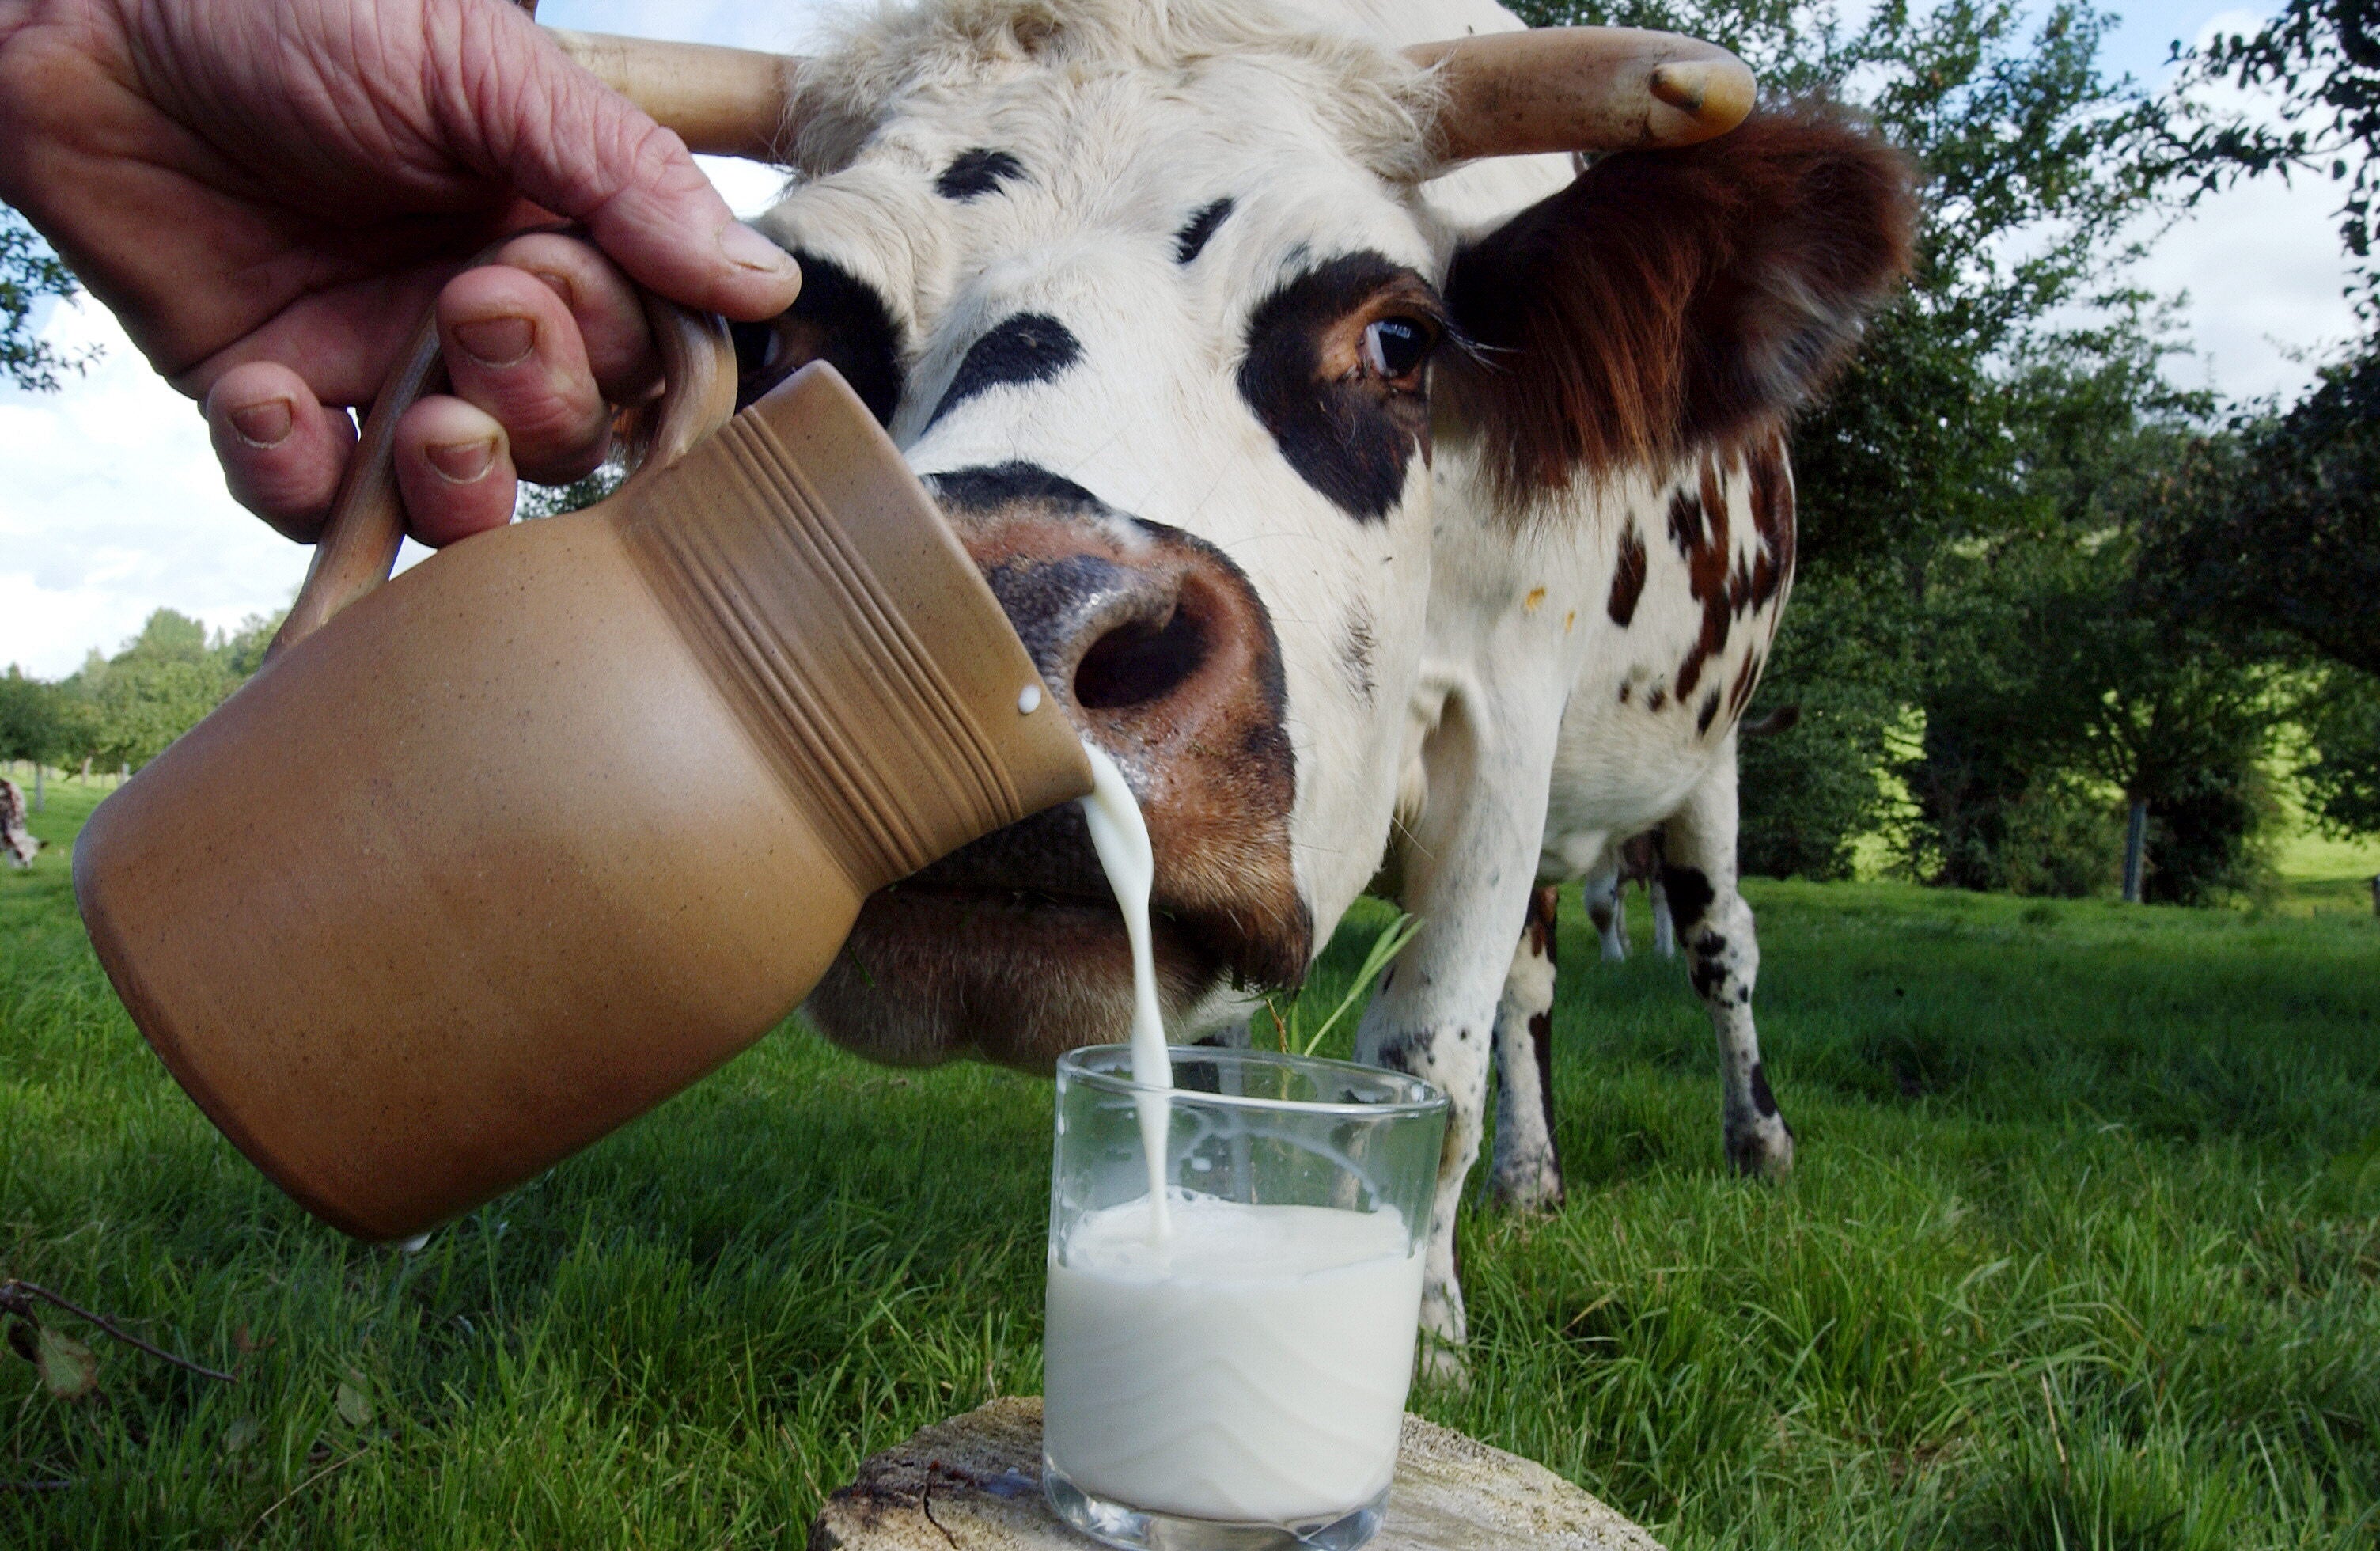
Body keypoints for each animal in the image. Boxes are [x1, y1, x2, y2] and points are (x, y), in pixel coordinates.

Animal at [680, 0, 1904, 1360]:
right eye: (775, 333)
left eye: (1399, 336)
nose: (1008, 637)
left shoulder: (1505, 730)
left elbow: (1429, 1066)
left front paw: (1428, 1342)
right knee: (1537, 981)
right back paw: (1536, 1180)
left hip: (1706, 761)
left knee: (1719, 947)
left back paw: (1760, 1142)